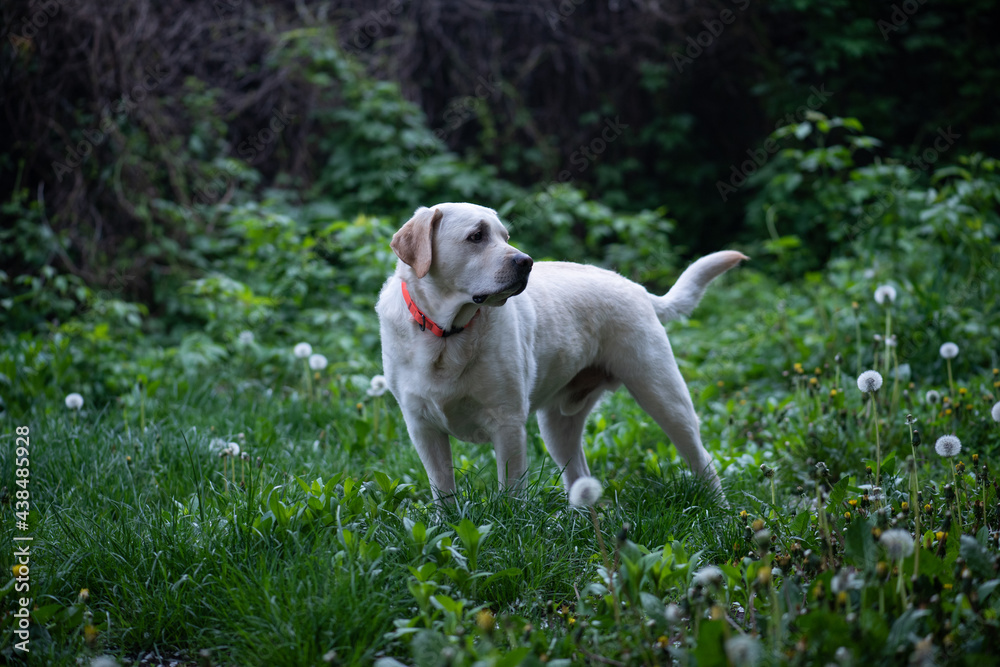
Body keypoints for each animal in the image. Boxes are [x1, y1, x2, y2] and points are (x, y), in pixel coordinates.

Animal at [378, 201, 748, 504]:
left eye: (506, 235)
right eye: (476, 236)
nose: (526, 262)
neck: (447, 334)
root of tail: (636, 287)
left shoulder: (507, 423)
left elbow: (512, 492)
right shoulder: (422, 427)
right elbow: (443, 491)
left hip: (664, 396)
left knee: (702, 460)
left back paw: (721, 512)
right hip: (557, 425)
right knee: (579, 477)